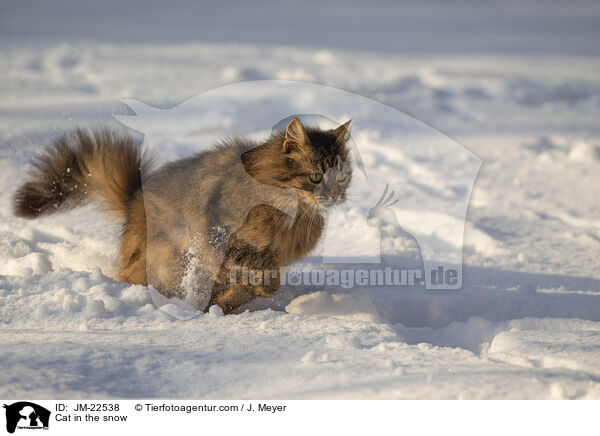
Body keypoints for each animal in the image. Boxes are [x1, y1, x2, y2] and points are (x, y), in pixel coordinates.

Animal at [14, 116, 354, 314]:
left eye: (342, 176)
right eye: (315, 176)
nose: (337, 195)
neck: (293, 217)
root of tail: (135, 198)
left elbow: (253, 284)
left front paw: (232, 300)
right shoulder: (218, 234)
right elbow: (262, 265)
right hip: (167, 260)